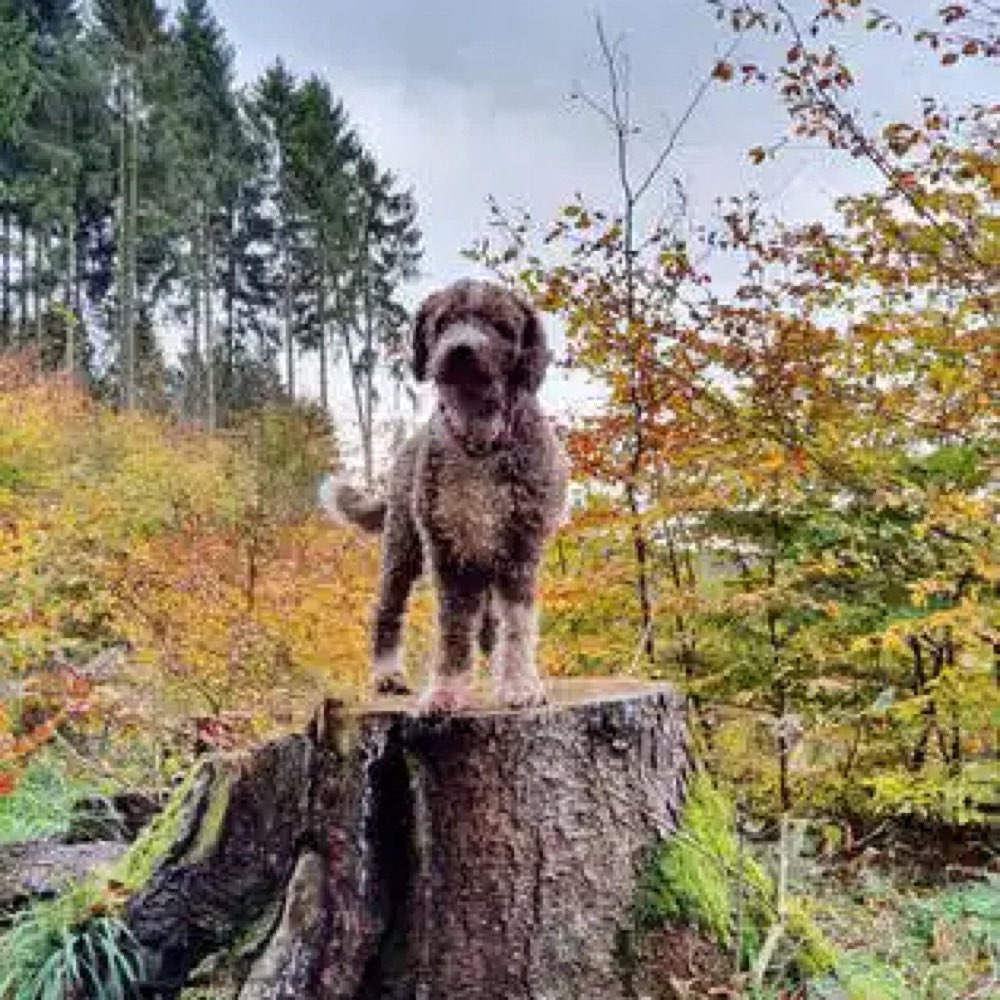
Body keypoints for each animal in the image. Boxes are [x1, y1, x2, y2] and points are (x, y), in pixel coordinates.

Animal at [326, 280, 564, 712]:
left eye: (501, 325)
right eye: (442, 323)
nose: (460, 350)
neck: (480, 442)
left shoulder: (519, 549)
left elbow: (517, 626)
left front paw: (519, 685)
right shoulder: (448, 551)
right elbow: (453, 631)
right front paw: (445, 693)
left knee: (490, 624)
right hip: (402, 546)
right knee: (388, 610)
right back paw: (387, 676)